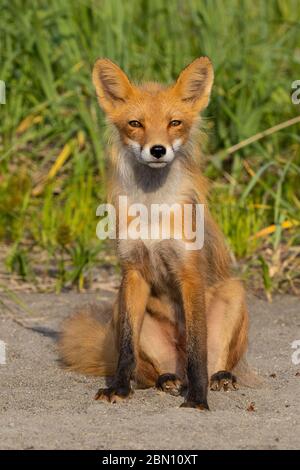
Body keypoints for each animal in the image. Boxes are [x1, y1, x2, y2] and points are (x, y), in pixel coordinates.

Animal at [58, 57, 251, 410]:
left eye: (175, 123)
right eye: (135, 123)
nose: (158, 150)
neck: (152, 212)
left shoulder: (189, 273)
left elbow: (198, 350)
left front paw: (197, 400)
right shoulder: (133, 272)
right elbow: (125, 349)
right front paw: (120, 389)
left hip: (233, 292)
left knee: (210, 359)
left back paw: (219, 378)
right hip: (120, 305)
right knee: (154, 369)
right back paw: (167, 379)